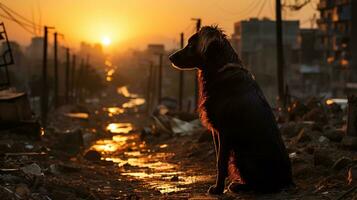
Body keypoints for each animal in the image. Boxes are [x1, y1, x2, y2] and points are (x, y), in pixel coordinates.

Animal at [169, 25, 292, 195]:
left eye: (191, 44)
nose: (170, 57)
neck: (219, 69)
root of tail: (287, 181)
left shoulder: (224, 131)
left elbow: (220, 162)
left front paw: (217, 188)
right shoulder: (216, 131)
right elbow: (219, 159)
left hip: (243, 154)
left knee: (262, 185)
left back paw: (239, 186)